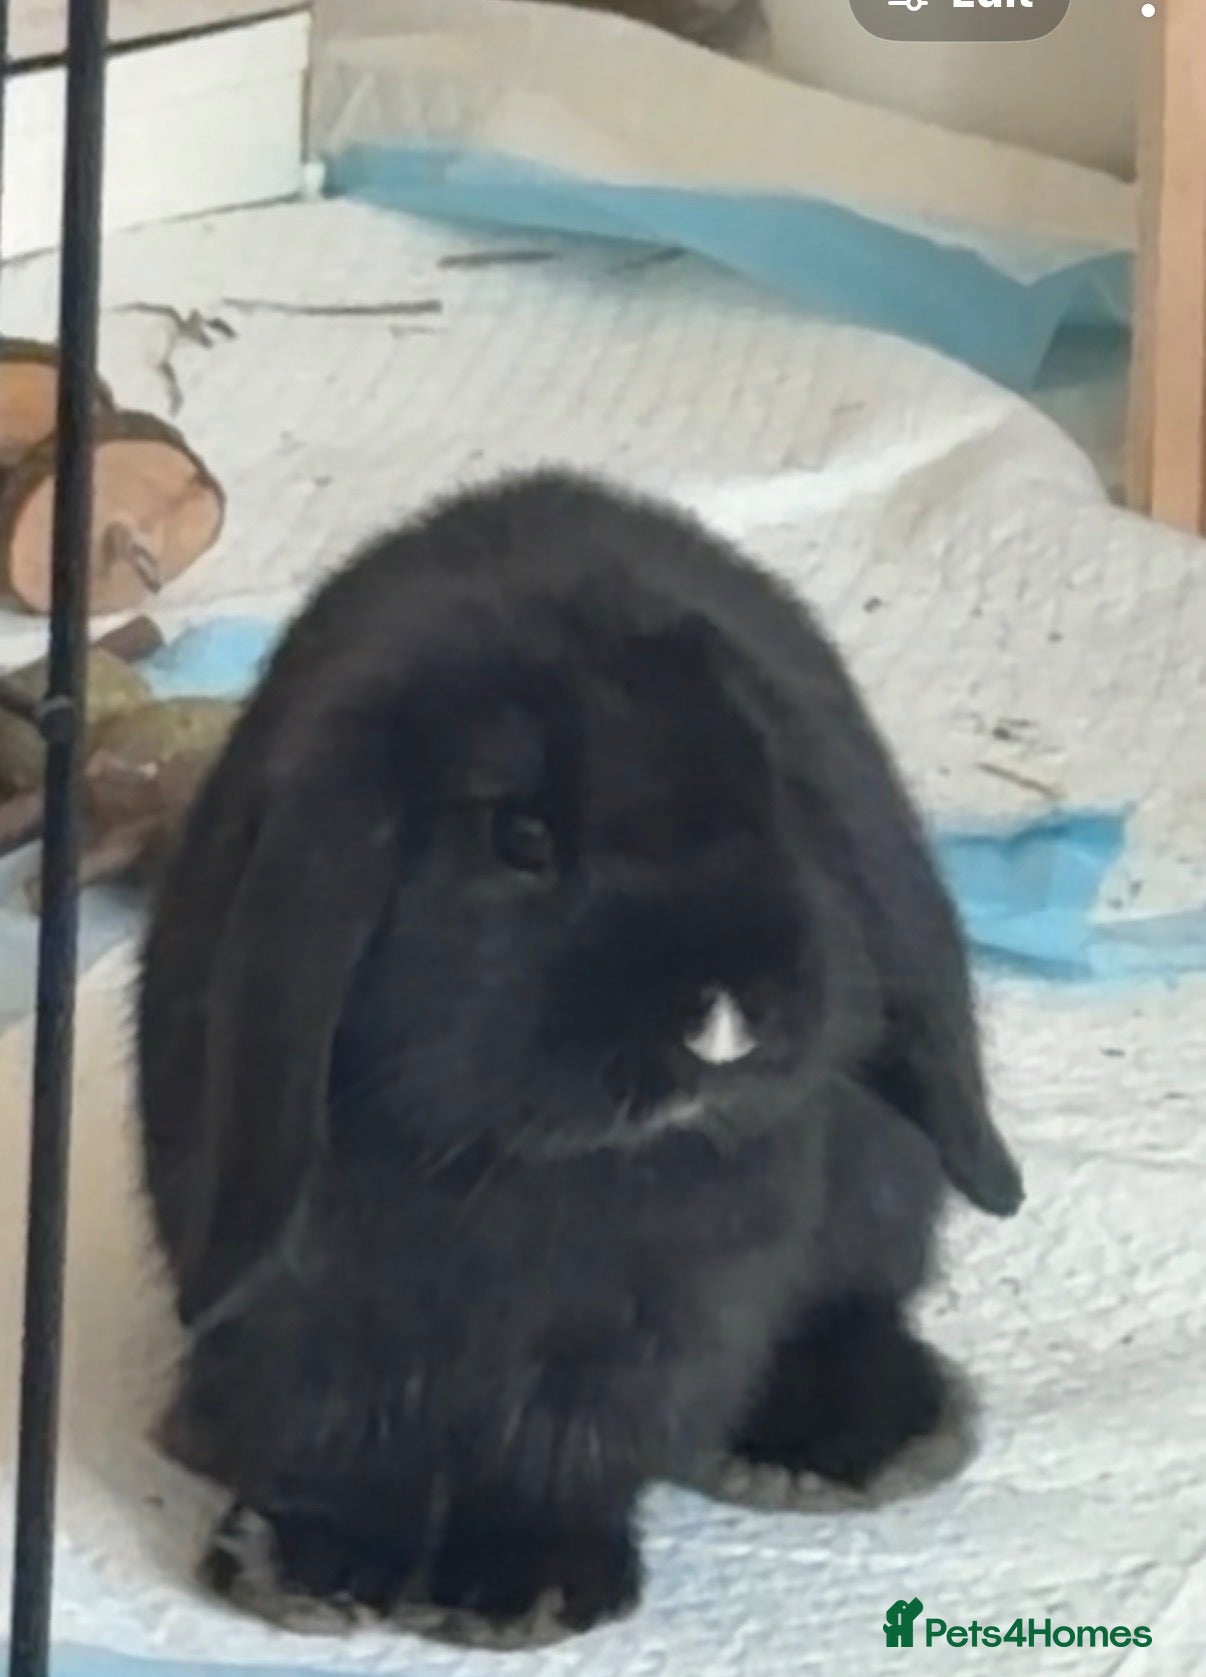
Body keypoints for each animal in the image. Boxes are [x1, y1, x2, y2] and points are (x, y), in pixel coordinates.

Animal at [136, 467, 1023, 1640]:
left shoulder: (647, 1329)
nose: (725, 1020)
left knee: (857, 1303)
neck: (515, 1169)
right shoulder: (309, 1322)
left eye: (767, 798)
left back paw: (847, 1442)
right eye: (521, 838)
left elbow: (564, 1450)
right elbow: (338, 1440)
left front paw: (526, 1587)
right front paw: (310, 1568)